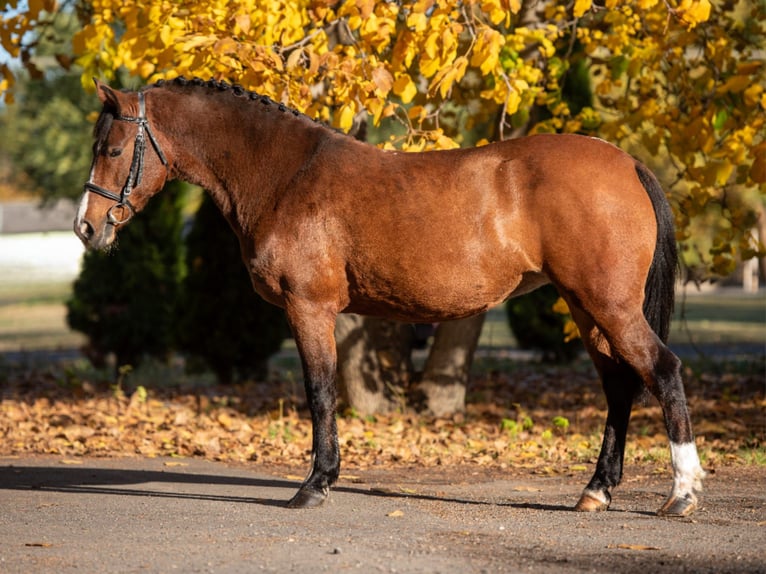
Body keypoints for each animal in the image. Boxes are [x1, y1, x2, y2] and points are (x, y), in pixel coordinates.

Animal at [74, 77, 705, 515]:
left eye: (112, 148)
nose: (87, 227)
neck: (285, 174)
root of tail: (626, 161)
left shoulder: (310, 309)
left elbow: (321, 392)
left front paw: (315, 484)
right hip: (586, 307)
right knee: (620, 384)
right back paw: (596, 491)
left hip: (608, 306)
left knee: (663, 370)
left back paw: (681, 493)